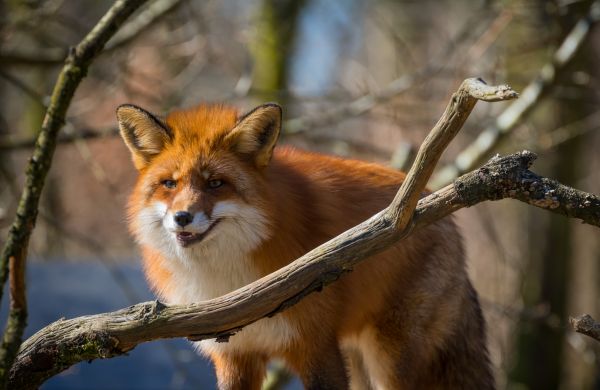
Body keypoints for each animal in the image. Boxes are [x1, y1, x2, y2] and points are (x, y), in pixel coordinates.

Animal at [116, 103, 492, 390]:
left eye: (215, 184)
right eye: (169, 184)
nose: (182, 217)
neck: (230, 284)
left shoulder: (315, 346)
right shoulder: (236, 355)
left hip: (390, 358)